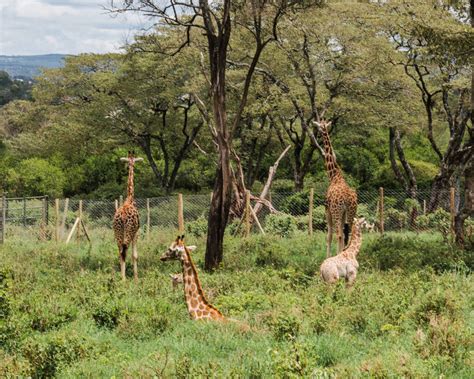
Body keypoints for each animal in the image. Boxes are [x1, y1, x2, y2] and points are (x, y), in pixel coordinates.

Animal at [316, 121, 358, 258]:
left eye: (319, 126)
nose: (317, 132)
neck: (334, 175)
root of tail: (346, 199)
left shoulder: (327, 209)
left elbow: (329, 236)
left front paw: (328, 257)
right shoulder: (344, 213)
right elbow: (344, 234)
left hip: (336, 211)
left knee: (338, 234)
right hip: (351, 211)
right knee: (348, 233)